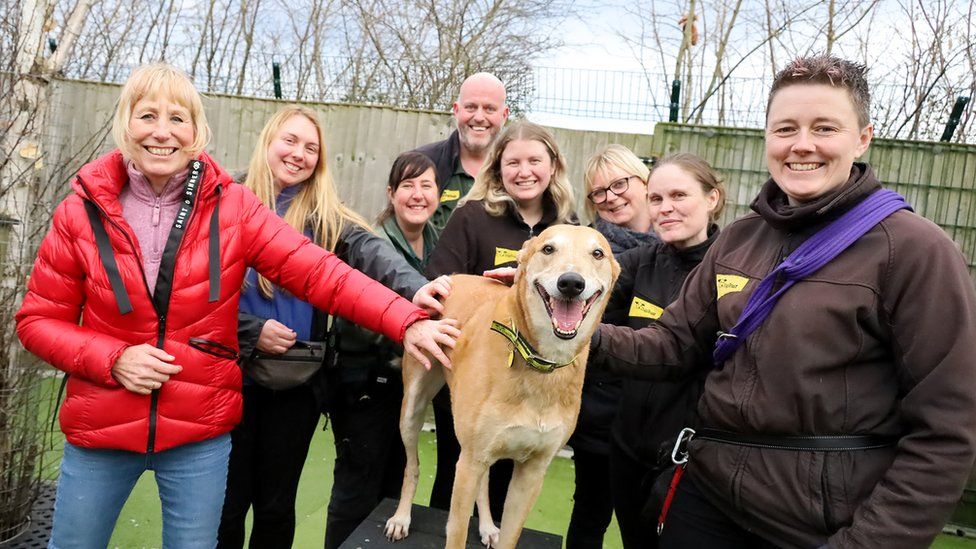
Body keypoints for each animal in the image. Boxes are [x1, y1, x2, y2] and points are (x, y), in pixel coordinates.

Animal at [384, 225, 616, 544]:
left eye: (597, 253)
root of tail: (453, 277)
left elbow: (510, 534)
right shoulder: (468, 464)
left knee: (484, 482)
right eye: (548, 249)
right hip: (412, 410)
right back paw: (401, 517)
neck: (540, 363)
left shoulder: (531, 473)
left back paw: (486, 525)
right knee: (412, 466)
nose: (571, 283)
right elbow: (456, 534)